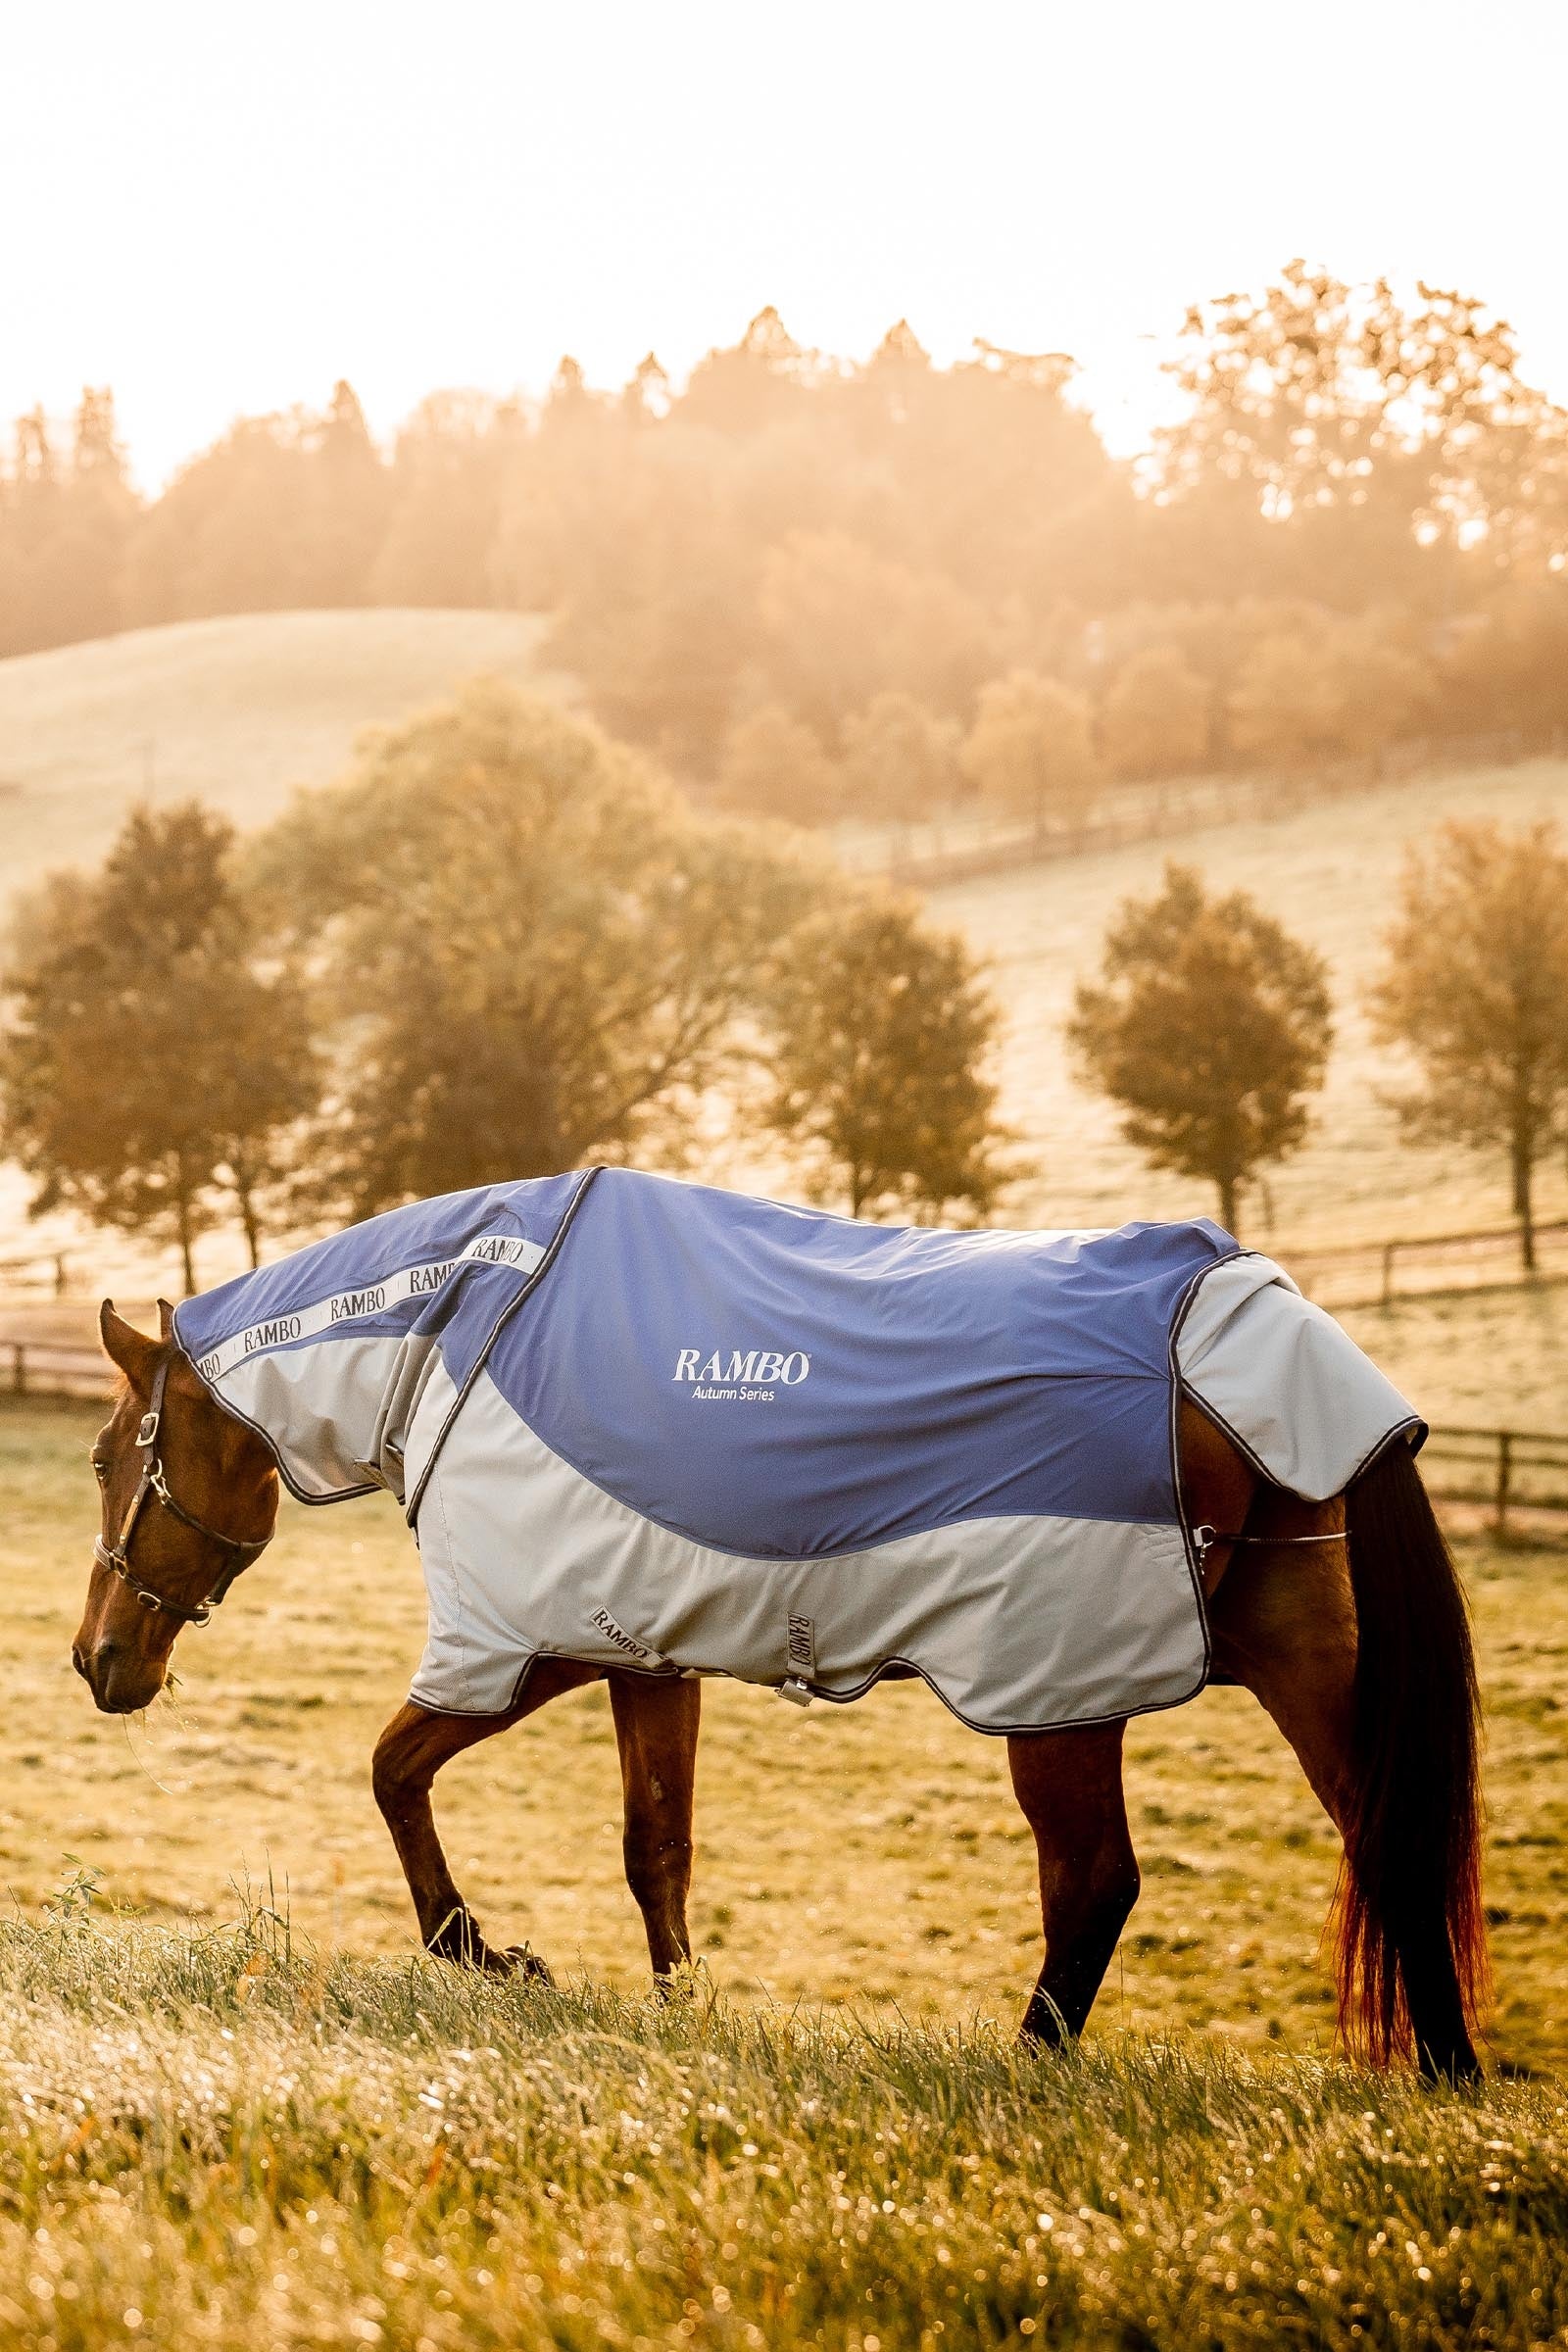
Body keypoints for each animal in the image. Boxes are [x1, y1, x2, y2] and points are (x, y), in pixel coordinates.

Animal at [75, 1268, 1485, 2082]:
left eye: (103, 1456)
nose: (97, 1659)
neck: (470, 1333)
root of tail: (1252, 1343)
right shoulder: (647, 1656)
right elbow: (656, 1846)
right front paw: (677, 2008)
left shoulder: (532, 1645)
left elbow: (391, 1774)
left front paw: (485, 1950)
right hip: (1302, 1655)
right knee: (1387, 1838)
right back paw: (1449, 2074)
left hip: (1058, 1694)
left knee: (1097, 1878)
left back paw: (1024, 2069)